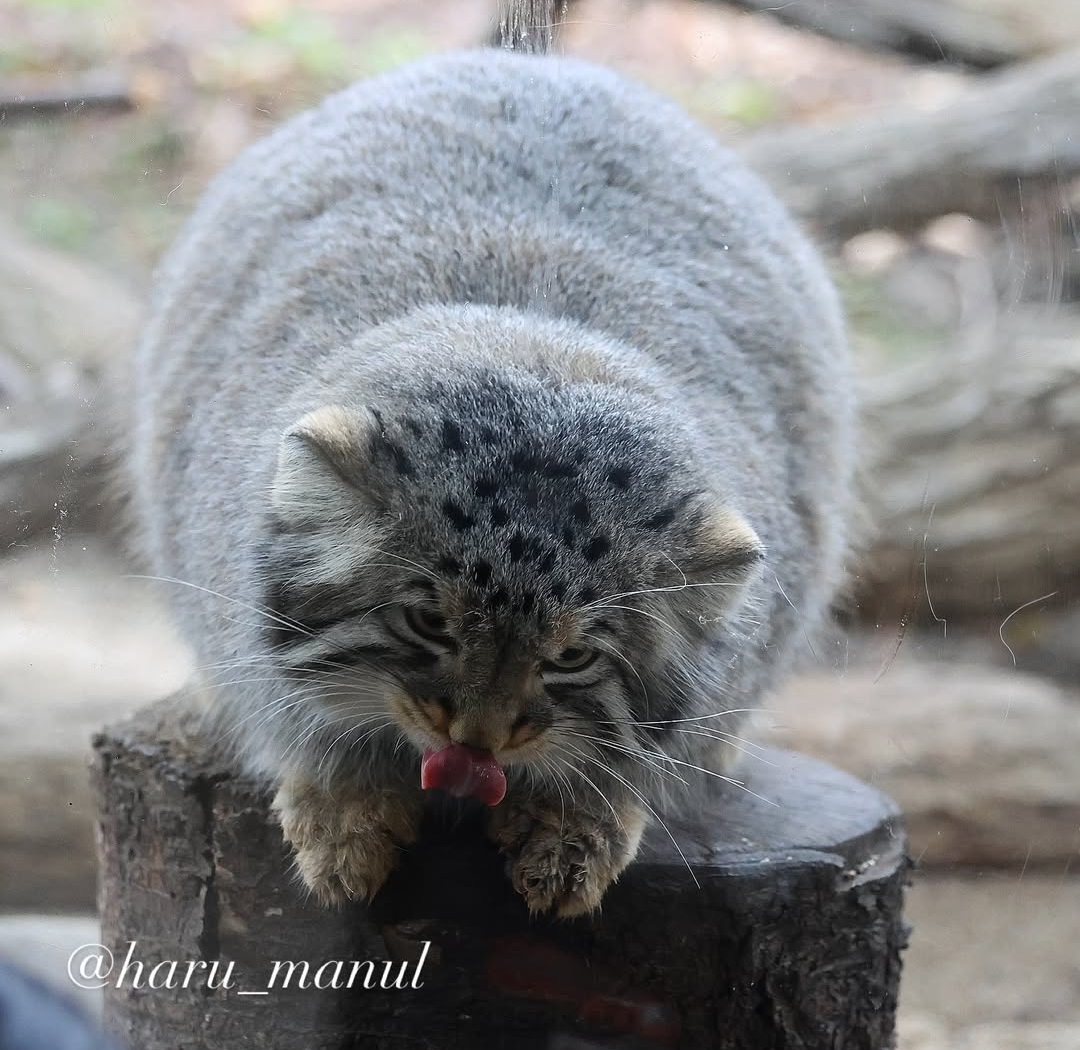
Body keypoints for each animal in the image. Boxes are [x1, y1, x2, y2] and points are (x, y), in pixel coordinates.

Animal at [122, 1, 856, 917]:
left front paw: (577, 828)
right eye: (429, 622)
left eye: (573, 657)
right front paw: (343, 813)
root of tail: (532, 63)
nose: (477, 737)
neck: (534, 334)